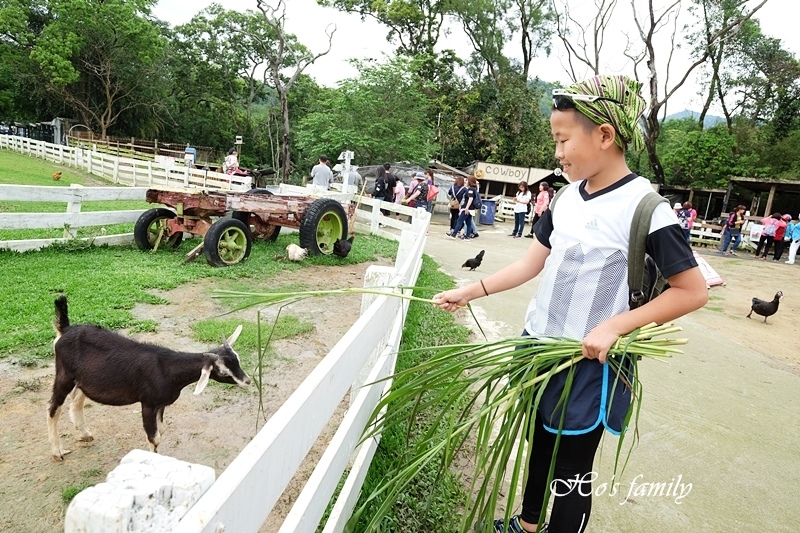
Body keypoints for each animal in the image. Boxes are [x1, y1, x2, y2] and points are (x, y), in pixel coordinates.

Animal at [48, 294, 248, 460]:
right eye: (222, 371)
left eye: (237, 359)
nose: (247, 381)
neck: (167, 368)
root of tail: (65, 329)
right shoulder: (148, 403)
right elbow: (154, 438)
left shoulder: (161, 404)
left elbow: (162, 431)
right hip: (64, 375)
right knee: (53, 408)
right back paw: (57, 451)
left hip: (84, 379)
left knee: (77, 399)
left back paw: (85, 434)